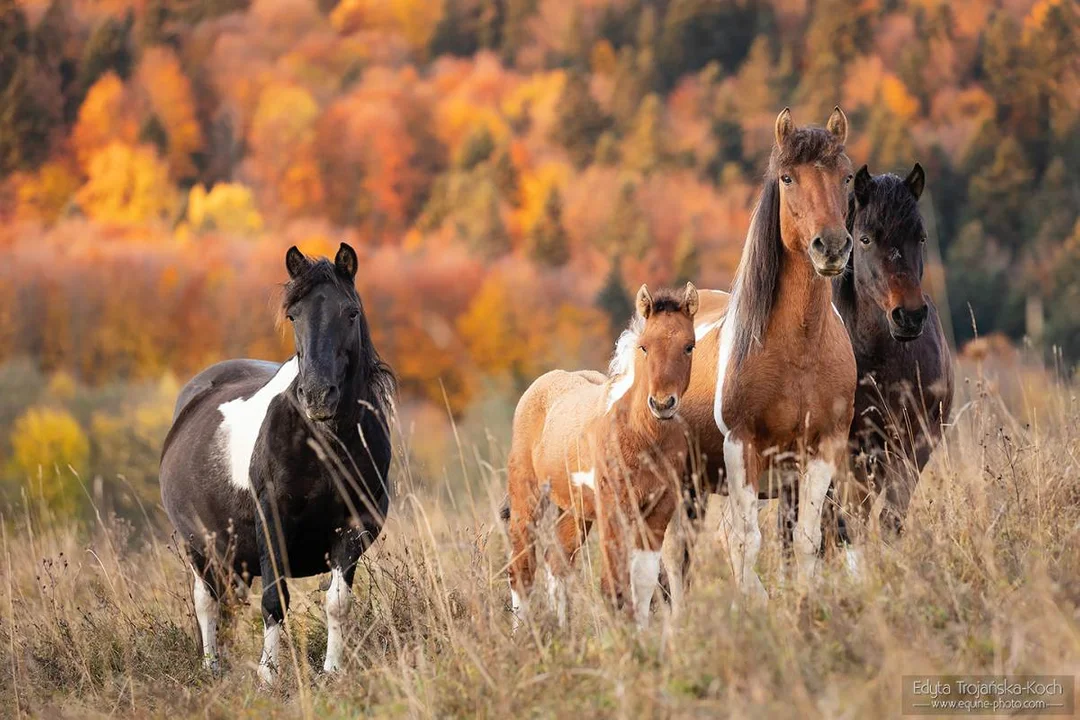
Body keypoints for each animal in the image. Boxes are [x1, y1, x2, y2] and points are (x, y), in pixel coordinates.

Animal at [157, 245, 395, 686]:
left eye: (351, 312)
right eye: (293, 316)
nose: (318, 396)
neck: (325, 445)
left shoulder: (353, 527)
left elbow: (337, 602)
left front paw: (333, 670)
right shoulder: (271, 523)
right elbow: (274, 600)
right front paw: (269, 674)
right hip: (198, 546)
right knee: (206, 602)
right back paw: (212, 666)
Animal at [507, 284, 699, 626]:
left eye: (689, 346)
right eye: (644, 347)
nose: (662, 404)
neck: (642, 435)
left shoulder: (659, 509)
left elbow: (643, 580)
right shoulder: (614, 509)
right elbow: (614, 585)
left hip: (576, 509)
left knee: (558, 559)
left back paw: (564, 629)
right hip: (526, 496)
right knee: (522, 566)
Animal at [660, 105, 855, 604]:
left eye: (846, 177)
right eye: (787, 178)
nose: (831, 246)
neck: (800, 353)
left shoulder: (822, 449)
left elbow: (805, 540)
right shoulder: (741, 446)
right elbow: (747, 543)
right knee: (677, 555)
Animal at [825, 162, 954, 557]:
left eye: (921, 237)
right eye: (865, 238)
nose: (909, 316)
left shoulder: (915, 445)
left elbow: (890, 519)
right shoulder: (848, 451)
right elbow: (847, 520)